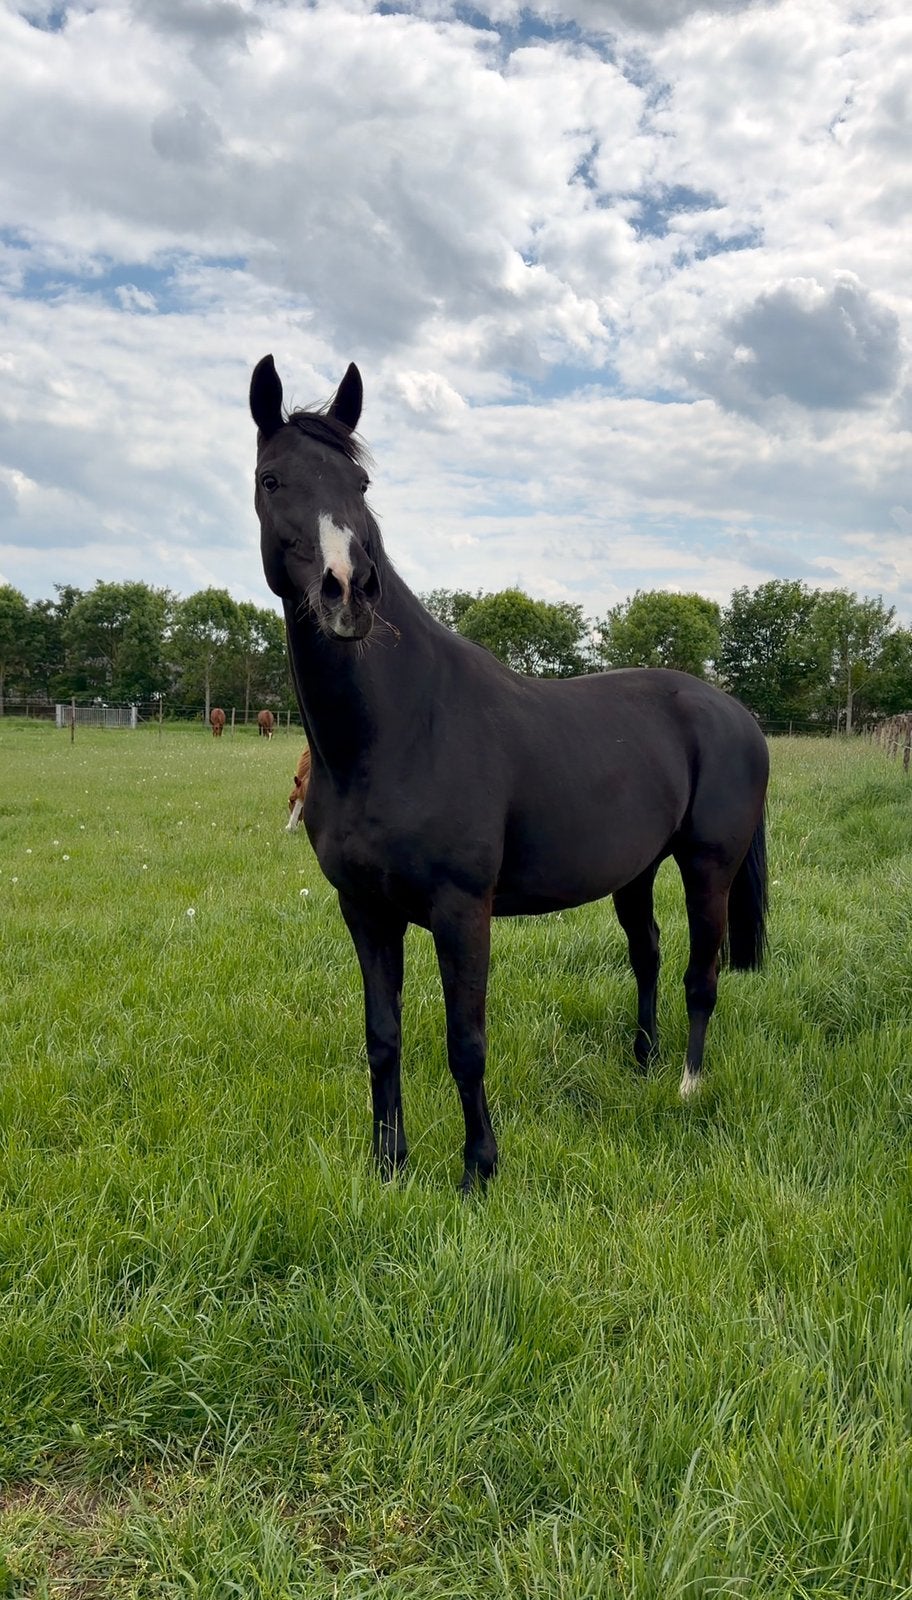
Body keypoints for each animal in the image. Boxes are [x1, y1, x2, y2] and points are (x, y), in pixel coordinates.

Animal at [250, 355, 769, 1192]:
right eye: (272, 479)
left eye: (360, 484)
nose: (347, 591)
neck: (398, 728)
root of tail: (735, 714)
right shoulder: (364, 910)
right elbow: (382, 1036)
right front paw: (389, 1166)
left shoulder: (463, 911)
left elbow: (466, 1043)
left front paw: (478, 1171)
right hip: (637, 870)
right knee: (648, 956)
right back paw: (643, 1065)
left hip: (707, 866)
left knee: (702, 971)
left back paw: (689, 1085)